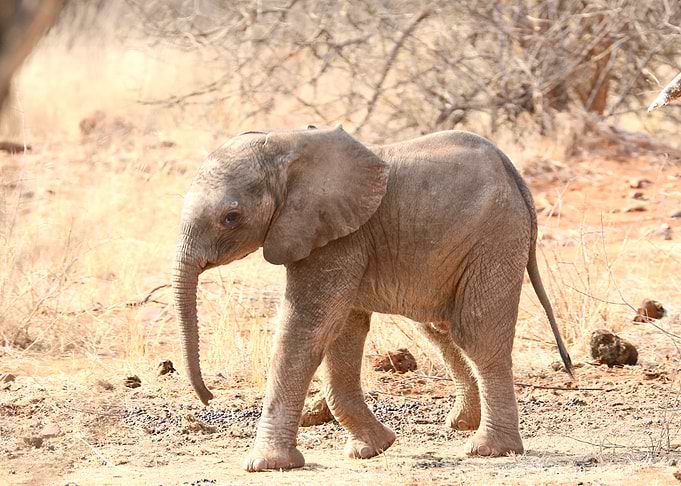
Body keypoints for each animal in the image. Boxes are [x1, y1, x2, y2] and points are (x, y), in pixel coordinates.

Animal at [172, 125, 573, 472]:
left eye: (231, 217)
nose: (208, 397)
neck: (287, 145)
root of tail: (516, 177)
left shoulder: (336, 238)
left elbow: (304, 331)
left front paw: (266, 465)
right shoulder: (336, 236)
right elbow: (342, 331)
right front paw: (372, 448)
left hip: (495, 238)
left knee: (476, 334)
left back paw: (488, 449)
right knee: (440, 329)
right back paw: (462, 423)